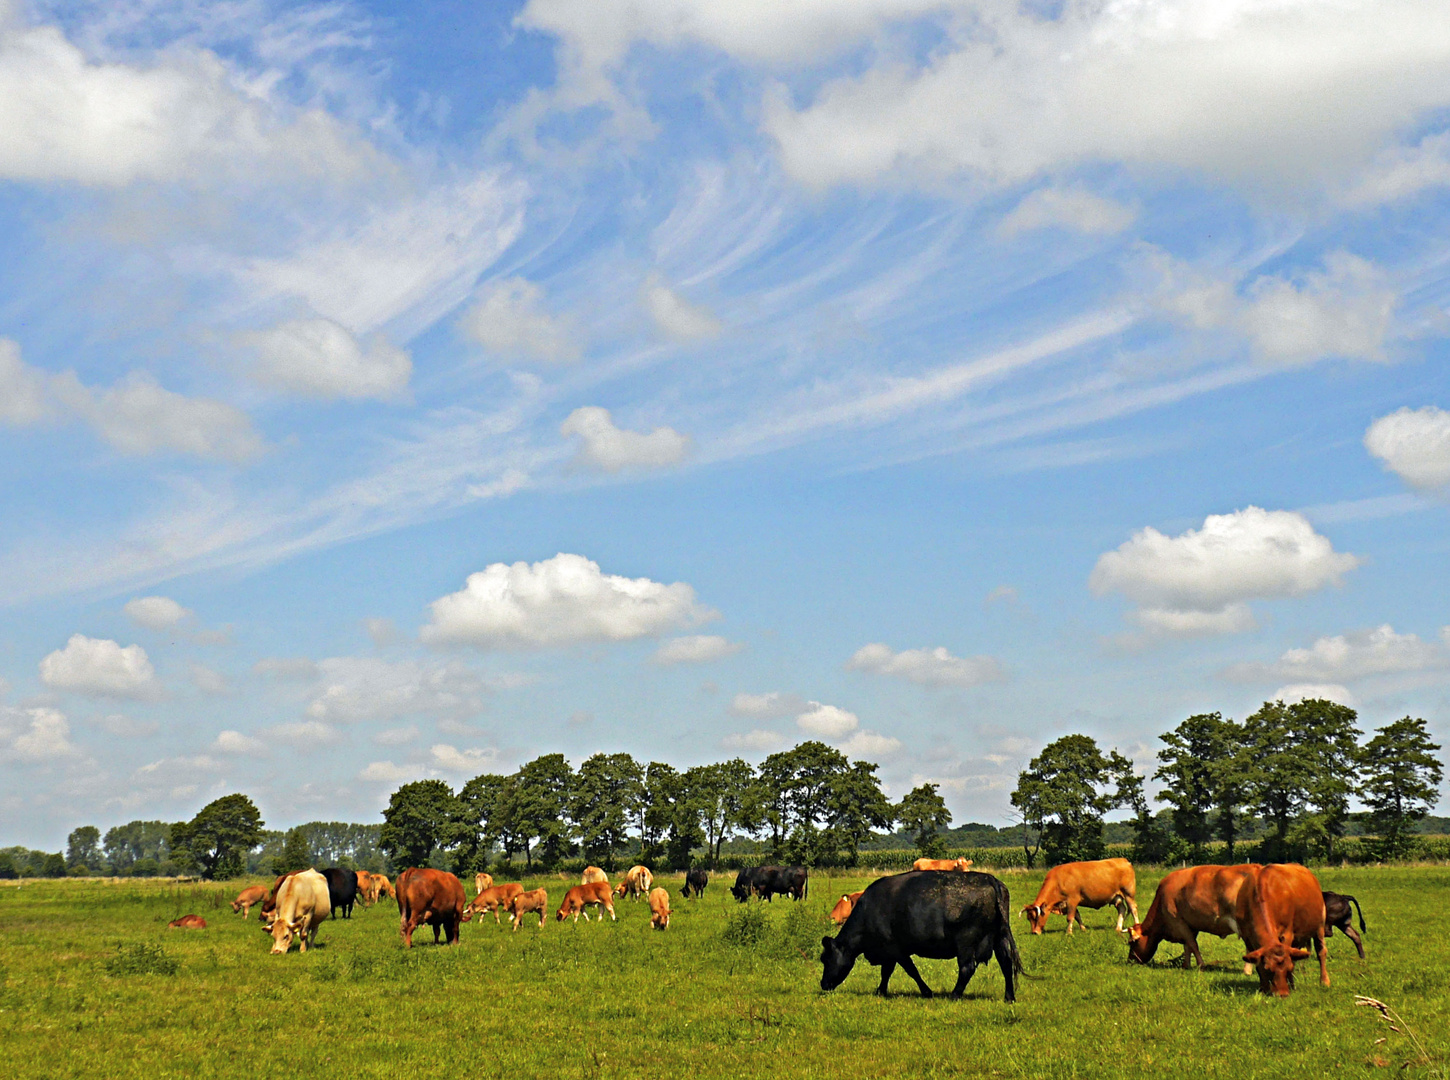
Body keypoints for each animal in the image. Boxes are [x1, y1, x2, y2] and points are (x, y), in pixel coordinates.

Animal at [823, 869, 1026, 1003]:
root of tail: (989, 879)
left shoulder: (894, 948)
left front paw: (927, 992)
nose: (823, 984)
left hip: (966, 941)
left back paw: (954, 995)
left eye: (825, 958)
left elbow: (909, 970)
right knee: (1006, 964)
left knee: (967, 968)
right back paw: (1009, 997)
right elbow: (887, 971)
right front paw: (881, 991)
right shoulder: (890, 951)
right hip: (999, 938)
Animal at [1241, 864, 1328, 997]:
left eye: (1289, 968)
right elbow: (1257, 964)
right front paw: (1263, 988)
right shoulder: (1247, 937)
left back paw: (1323, 981)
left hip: (1319, 926)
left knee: (1321, 952)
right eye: (1268, 969)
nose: (1282, 994)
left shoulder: (1287, 933)